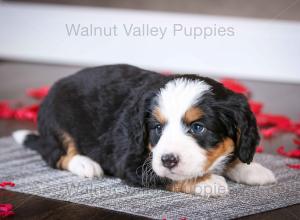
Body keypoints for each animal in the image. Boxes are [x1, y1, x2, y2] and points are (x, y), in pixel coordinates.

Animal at [14, 64, 276, 197]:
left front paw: (251, 169)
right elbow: (164, 176)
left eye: (198, 127)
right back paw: (85, 164)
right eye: (157, 128)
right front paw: (208, 182)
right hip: (56, 118)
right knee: (57, 154)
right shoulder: (130, 162)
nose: (168, 159)